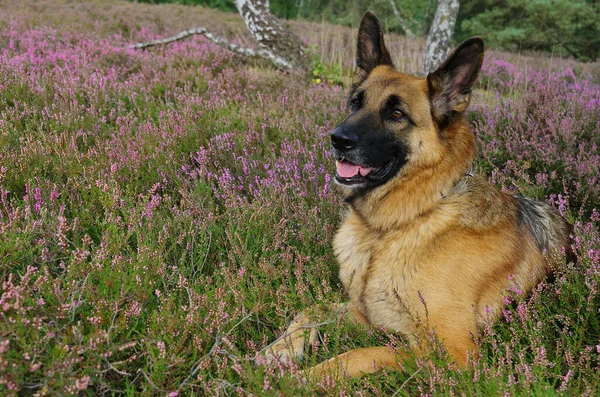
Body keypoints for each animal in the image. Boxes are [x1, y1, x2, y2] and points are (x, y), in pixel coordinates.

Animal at [262, 10, 568, 384]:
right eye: (355, 102)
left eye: (397, 114)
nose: (337, 139)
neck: (398, 224)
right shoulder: (366, 312)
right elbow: (311, 309)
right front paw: (278, 350)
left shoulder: (451, 353)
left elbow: (361, 354)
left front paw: (304, 378)